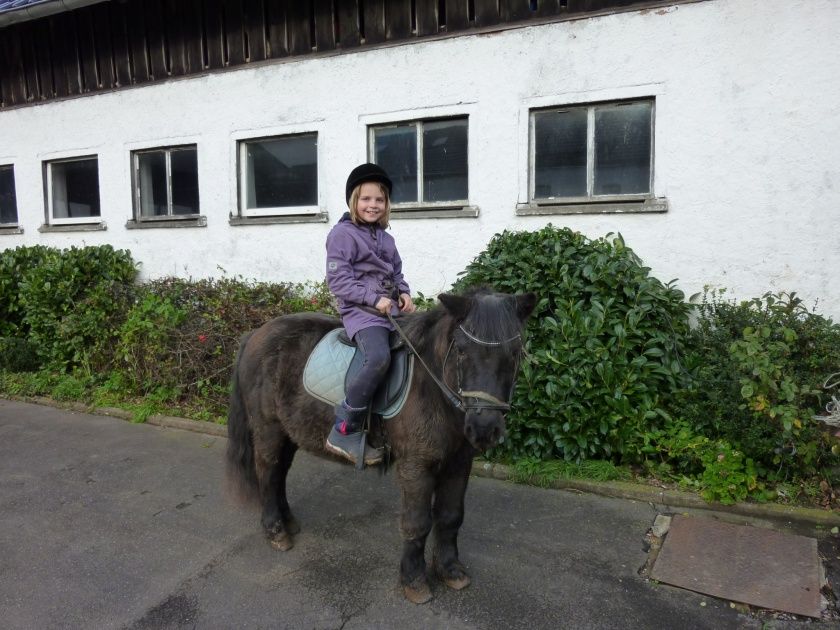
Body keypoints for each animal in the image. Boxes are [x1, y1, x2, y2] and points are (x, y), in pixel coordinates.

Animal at [226, 288, 536, 604]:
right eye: (461, 349)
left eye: (515, 352)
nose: (485, 428)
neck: (433, 387)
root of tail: (255, 334)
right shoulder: (416, 466)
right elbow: (417, 523)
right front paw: (414, 580)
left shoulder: (459, 462)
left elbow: (451, 517)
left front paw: (450, 570)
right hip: (268, 428)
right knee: (268, 472)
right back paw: (275, 531)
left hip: (289, 432)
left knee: (280, 474)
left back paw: (288, 522)